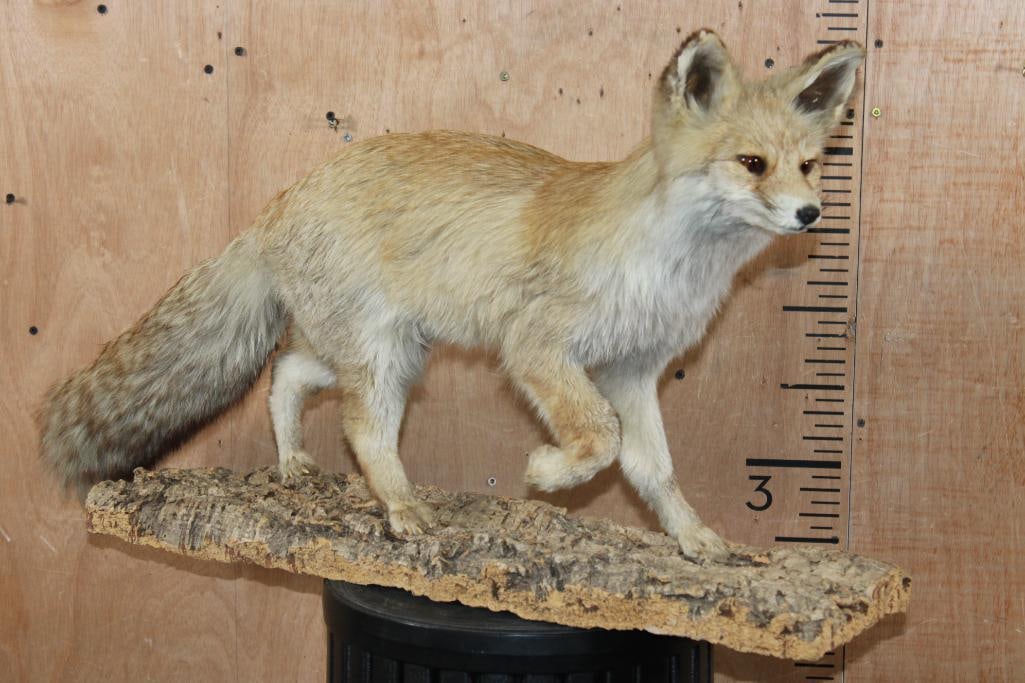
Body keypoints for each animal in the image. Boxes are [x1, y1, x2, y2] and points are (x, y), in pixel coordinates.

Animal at [40, 31, 864, 561]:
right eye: (751, 163)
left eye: (808, 164)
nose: (811, 214)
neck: (669, 267)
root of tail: (279, 202)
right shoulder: (537, 349)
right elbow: (599, 440)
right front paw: (544, 473)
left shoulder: (634, 369)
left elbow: (650, 466)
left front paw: (691, 539)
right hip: (381, 358)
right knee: (361, 429)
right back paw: (402, 508)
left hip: (385, 351)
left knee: (285, 374)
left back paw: (294, 463)